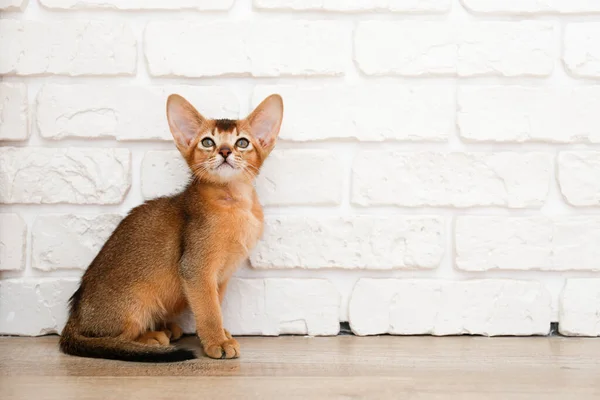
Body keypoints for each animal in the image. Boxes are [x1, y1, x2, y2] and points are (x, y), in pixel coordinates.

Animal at [59, 94, 284, 362]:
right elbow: (209, 310)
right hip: (137, 303)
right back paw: (152, 337)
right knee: (113, 338)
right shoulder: (196, 269)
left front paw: (221, 333)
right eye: (208, 142)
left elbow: (215, 305)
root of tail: (73, 319)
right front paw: (217, 341)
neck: (236, 202)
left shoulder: (221, 277)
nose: (225, 151)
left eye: (242, 142)